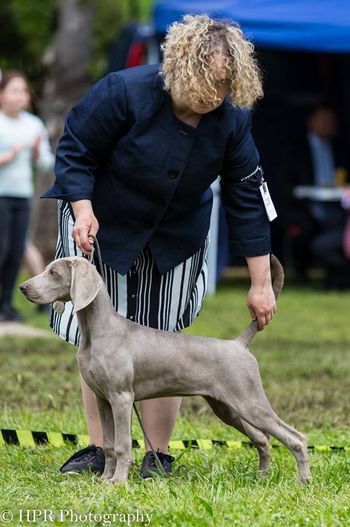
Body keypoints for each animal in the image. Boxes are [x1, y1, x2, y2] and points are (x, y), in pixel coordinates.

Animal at [19, 256, 308, 486]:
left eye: (53, 273)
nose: (23, 287)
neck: (96, 331)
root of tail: (238, 343)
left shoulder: (122, 398)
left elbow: (122, 445)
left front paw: (118, 482)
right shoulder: (103, 399)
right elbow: (110, 444)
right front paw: (104, 478)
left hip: (249, 401)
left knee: (295, 437)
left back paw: (303, 481)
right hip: (227, 407)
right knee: (262, 438)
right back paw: (262, 475)